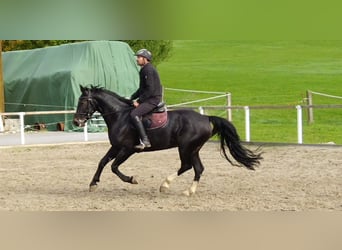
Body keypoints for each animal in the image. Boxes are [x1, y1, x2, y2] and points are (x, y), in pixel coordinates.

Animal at [73, 86, 262, 195]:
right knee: (198, 168)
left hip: (185, 147)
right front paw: (93, 184)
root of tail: (205, 117)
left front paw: (132, 179)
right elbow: (102, 162)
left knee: (186, 166)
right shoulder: (115, 147)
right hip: (193, 149)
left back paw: (165, 185)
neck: (120, 116)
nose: (76, 122)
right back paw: (188, 191)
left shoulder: (128, 149)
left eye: (83, 101)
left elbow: (113, 167)